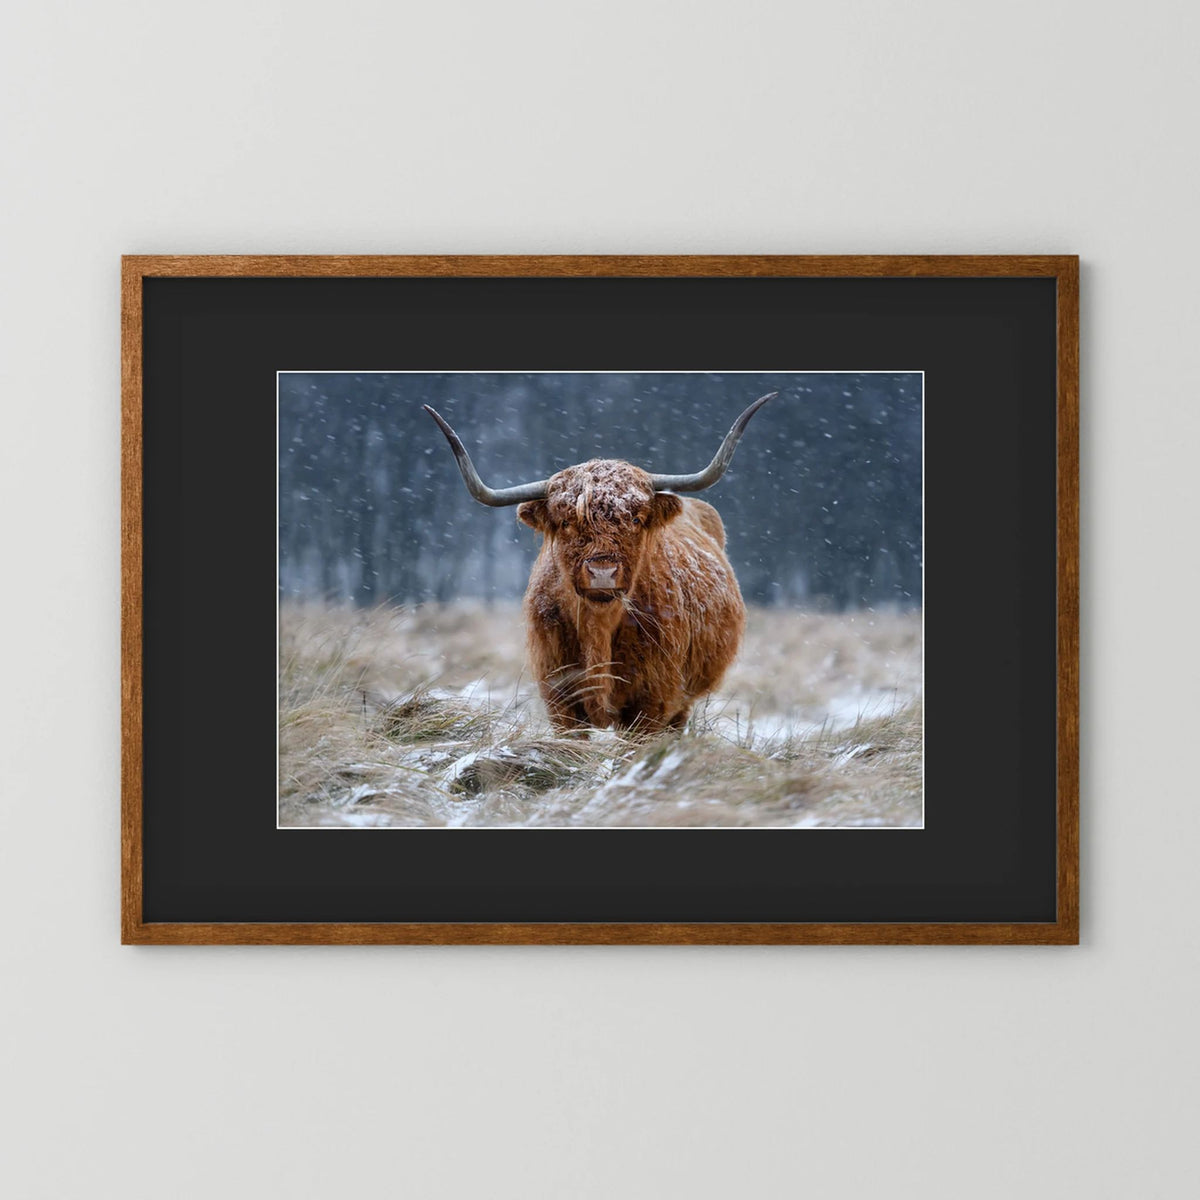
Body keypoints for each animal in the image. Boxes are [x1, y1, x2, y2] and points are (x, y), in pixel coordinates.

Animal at [423, 393, 775, 735]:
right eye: (567, 522)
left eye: (635, 519)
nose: (602, 572)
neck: (598, 629)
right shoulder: (560, 697)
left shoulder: (654, 700)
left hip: (682, 702)